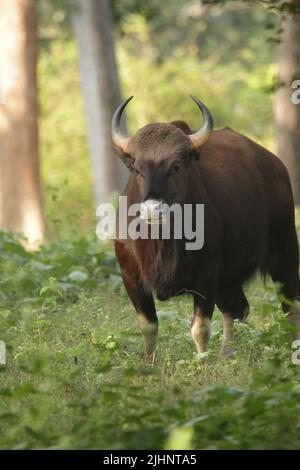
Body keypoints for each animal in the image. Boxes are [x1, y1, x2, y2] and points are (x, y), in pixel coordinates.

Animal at [110, 93, 300, 362]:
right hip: (230, 275)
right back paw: (227, 355)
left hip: (284, 249)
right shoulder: (130, 275)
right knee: (237, 308)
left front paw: (202, 364)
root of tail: (275, 164)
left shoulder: (207, 273)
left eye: (176, 166)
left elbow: (200, 328)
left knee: (290, 306)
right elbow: (148, 326)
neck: (162, 241)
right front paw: (149, 364)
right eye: (137, 168)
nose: (153, 209)